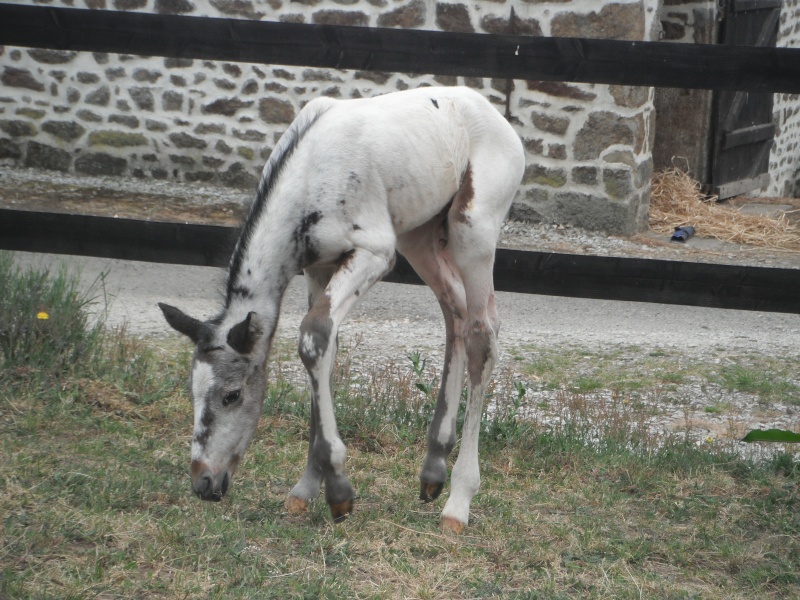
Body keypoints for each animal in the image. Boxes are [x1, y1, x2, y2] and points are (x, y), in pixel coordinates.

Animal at [161, 84, 524, 528]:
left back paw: (458, 501)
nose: (203, 482)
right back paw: (433, 468)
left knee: (481, 335)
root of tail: (494, 114)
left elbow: (313, 334)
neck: (310, 173)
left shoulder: (375, 253)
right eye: (191, 390)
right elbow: (323, 351)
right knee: (453, 312)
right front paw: (306, 489)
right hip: (420, 237)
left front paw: (338, 491)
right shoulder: (318, 268)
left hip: (472, 232)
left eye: (232, 395)